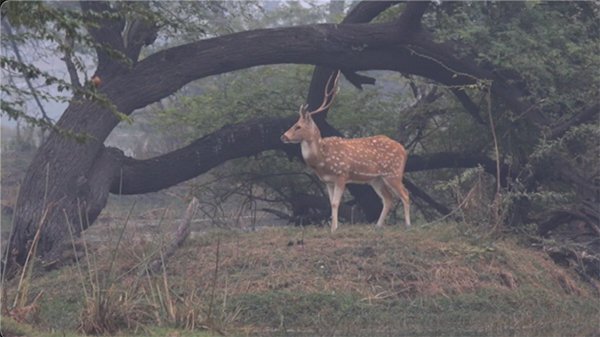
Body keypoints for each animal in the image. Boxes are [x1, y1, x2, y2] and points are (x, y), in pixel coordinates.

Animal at [282, 70, 412, 231]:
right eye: (294, 123)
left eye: (298, 126)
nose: (283, 136)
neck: (323, 160)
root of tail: (404, 150)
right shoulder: (328, 181)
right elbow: (330, 203)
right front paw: (332, 227)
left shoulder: (342, 175)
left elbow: (335, 203)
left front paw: (334, 229)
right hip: (376, 179)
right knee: (388, 199)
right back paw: (377, 226)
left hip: (394, 173)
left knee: (405, 194)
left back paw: (408, 225)